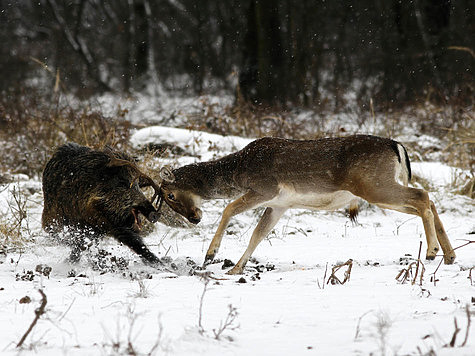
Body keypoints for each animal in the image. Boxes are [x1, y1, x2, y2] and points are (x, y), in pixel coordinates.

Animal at [160, 134, 458, 276]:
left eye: (170, 195)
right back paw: (450, 255)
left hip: (374, 185)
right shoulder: (280, 204)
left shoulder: (265, 187)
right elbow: (258, 235)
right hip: (377, 186)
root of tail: (397, 146)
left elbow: (228, 209)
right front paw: (236, 268)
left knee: (422, 196)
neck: (238, 172)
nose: (195, 218)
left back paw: (431, 251)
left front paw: (211, 254)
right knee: (428, 199)